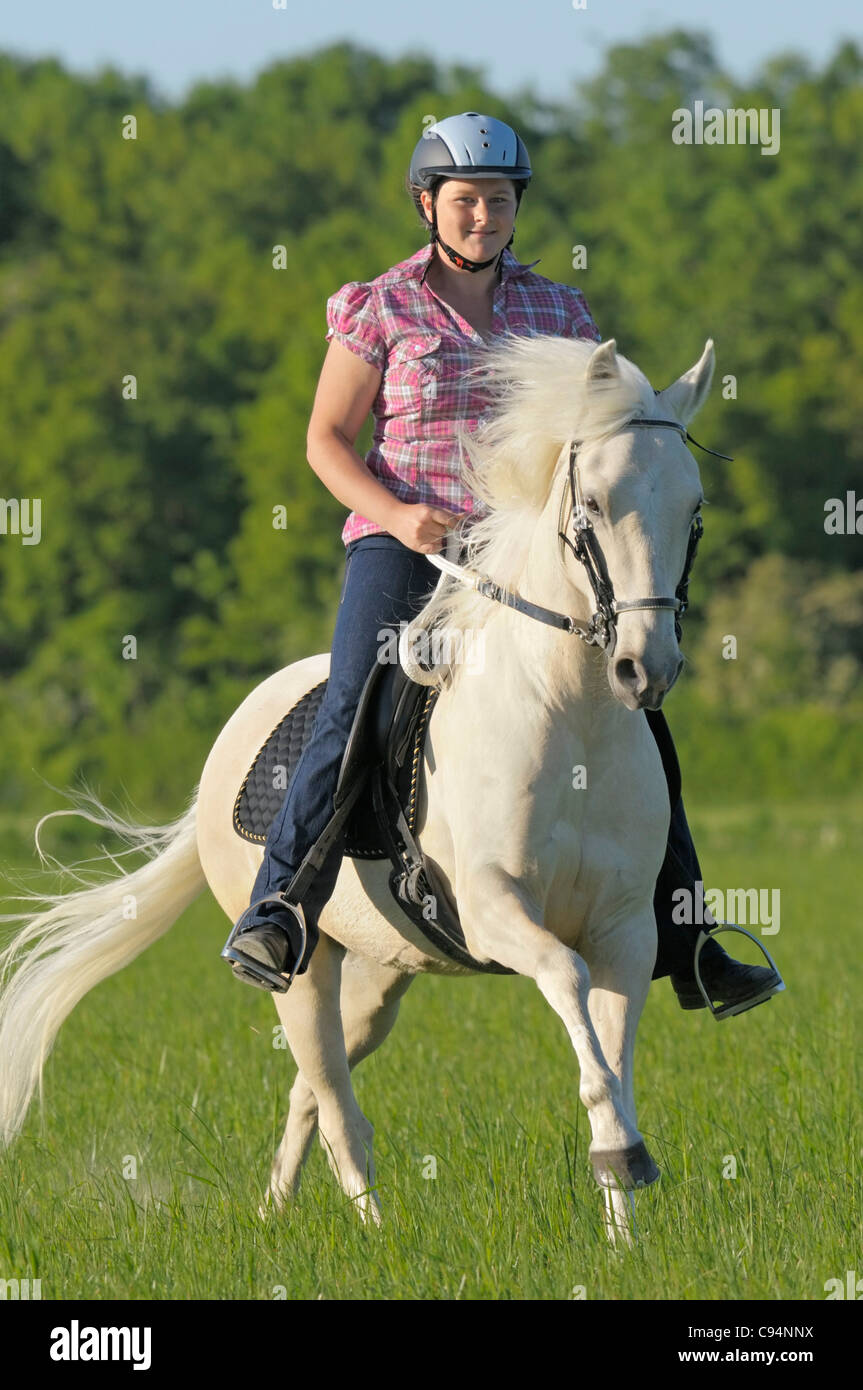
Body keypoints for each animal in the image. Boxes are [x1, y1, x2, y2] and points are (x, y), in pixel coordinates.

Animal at [0, 334, 716, 1243]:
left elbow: (612, 1057)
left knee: (313, 1087)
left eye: (693, 510)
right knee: (336, 1101)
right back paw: (375, 1232)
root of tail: (231, 741)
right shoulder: (495, 908)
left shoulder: (625, 927)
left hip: (379, 970)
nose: (643, 668)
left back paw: (274, 1210)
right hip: (302, 969)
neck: (569, 717)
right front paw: (619, 1159)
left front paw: (623, 1220)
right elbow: (567, 985)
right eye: (592, 500)